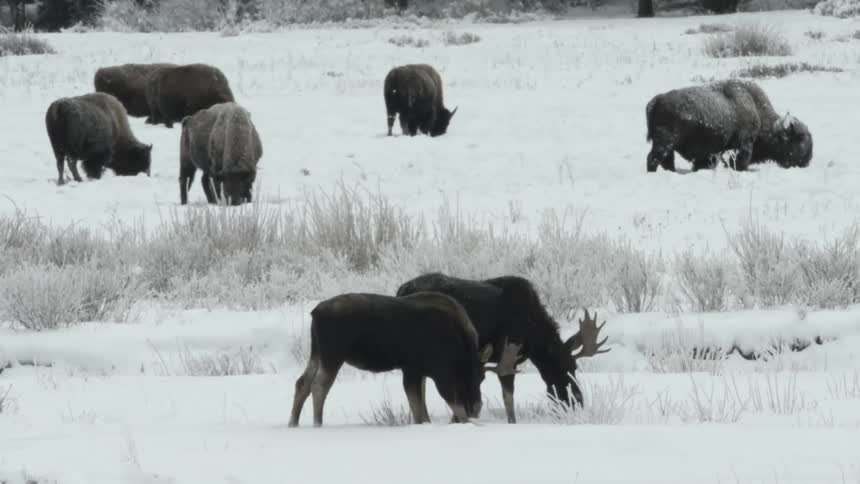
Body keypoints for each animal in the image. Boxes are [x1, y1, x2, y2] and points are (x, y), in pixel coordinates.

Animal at [287, 291, 523, 427]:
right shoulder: (437, 373)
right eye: (464, 375)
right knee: (319, 385)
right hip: (333, 353)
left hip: (316, 352)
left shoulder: (414, 370)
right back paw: (317, 424)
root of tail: (315, 312)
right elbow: (447, 406)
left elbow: (419, 408)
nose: (475, 407)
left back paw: (293, 423)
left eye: (482, 378)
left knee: (302, 382)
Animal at [396, 273, 611, 423]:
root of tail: (400, 290)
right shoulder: (507, 355)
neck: (534, 336)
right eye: (563, 369)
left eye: (574, 368)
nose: (577, 401)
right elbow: (508, 398)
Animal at [646, 79, 813, 172]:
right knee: (653, 158)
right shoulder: (743, 145)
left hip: (668, 146)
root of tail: (658, 99)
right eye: (800, 137)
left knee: (667, 161)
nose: (808, 160)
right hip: (664, 143)